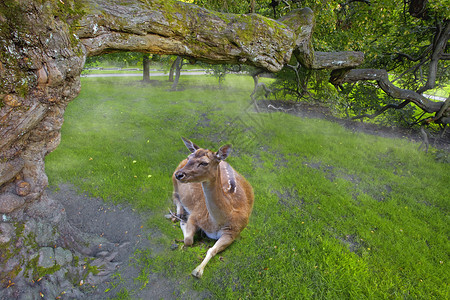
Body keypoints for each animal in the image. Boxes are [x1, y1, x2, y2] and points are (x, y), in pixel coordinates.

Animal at [171, 137, 253, 278]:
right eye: (189, 157)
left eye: (204, 163)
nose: (179, 174)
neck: (215, 223)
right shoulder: (196, 214)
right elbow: (188, 240)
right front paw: (183, 223)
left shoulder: (233, 231)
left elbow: (212, 250)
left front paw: (198, 271)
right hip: (173, 180)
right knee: (174, 195)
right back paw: (179, 214)